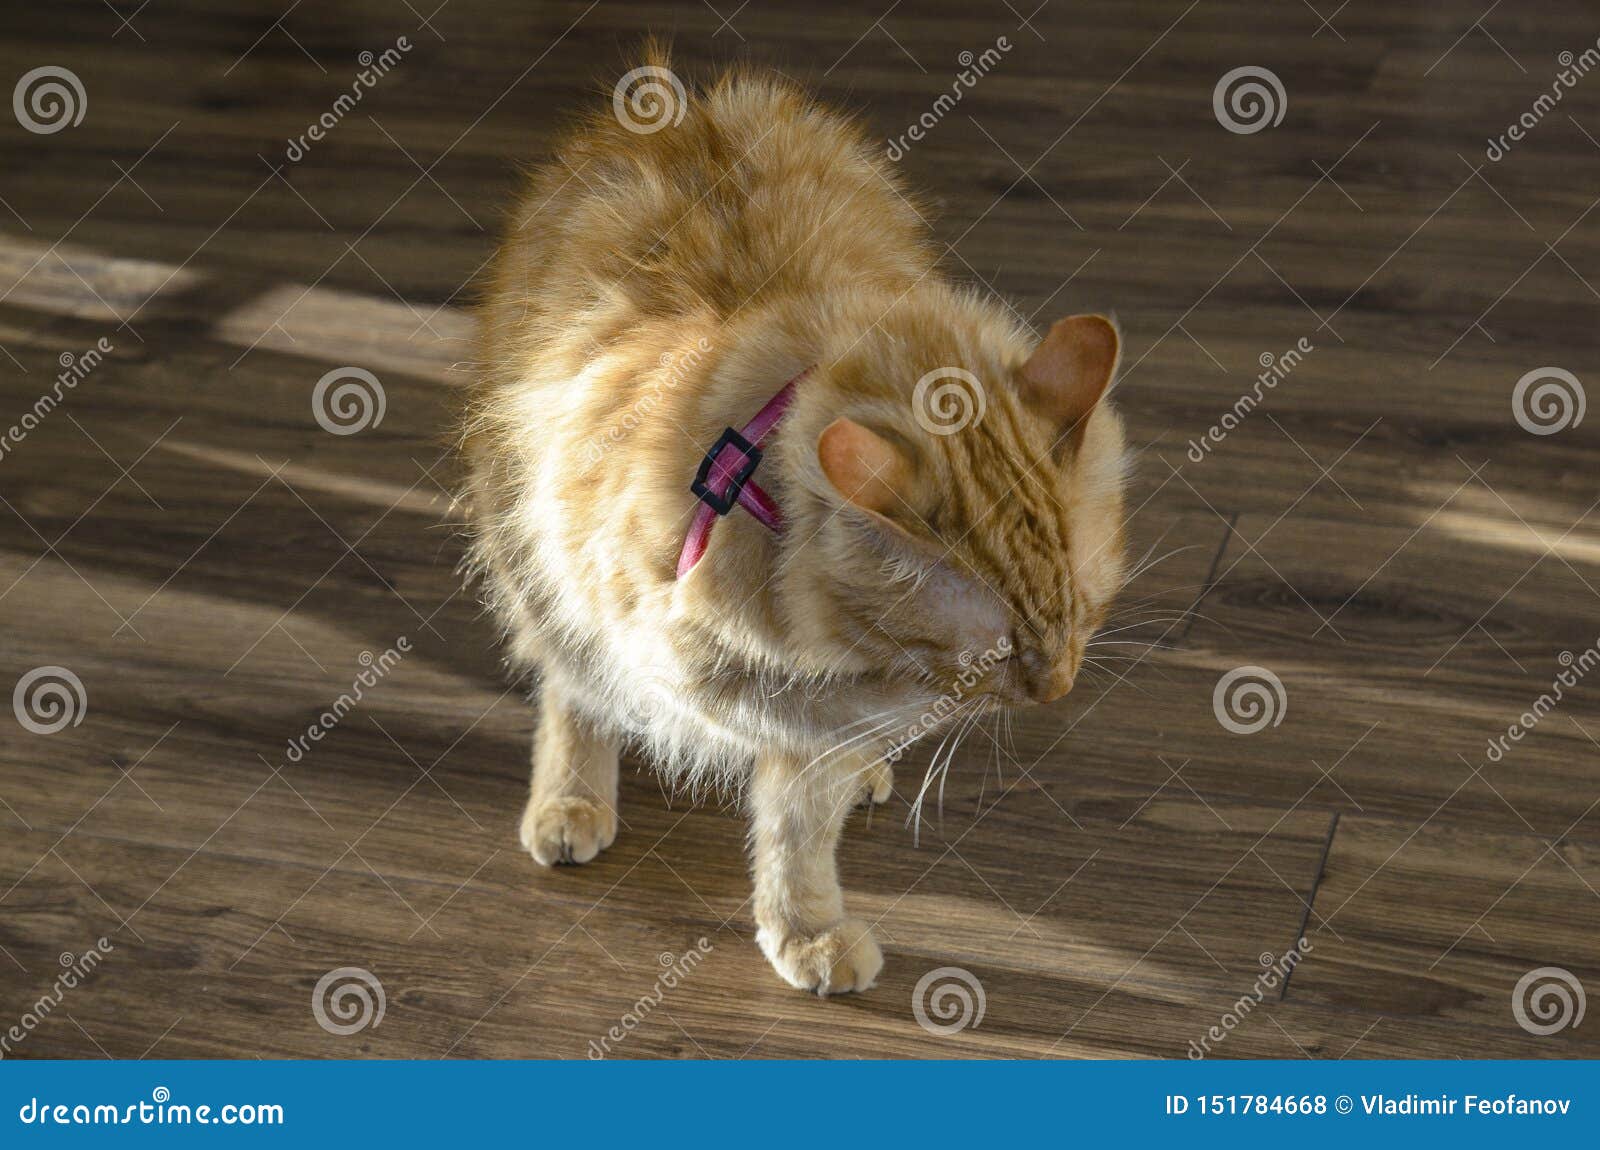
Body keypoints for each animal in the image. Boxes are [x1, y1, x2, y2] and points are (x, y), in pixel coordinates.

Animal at [454, 49, 1126, 991]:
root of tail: (681, 108)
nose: (1059, 688)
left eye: (1086, 617)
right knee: (571, 687)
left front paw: (805, 923)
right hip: (532, 550)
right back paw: (571, 799)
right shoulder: (666, 646)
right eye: (993, 655)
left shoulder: (812, 731)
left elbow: (800, 827)